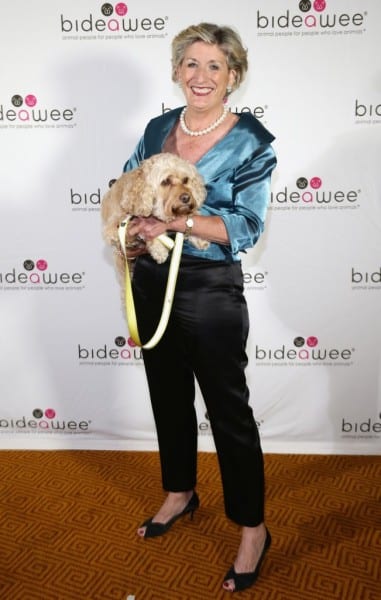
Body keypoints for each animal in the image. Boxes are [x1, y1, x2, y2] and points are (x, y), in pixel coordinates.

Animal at [101, 151, 208, 282]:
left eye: (185, 179)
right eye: (165, 181)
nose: (186, 198)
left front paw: (200, 238)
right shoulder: (113, 227)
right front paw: (159, 249)